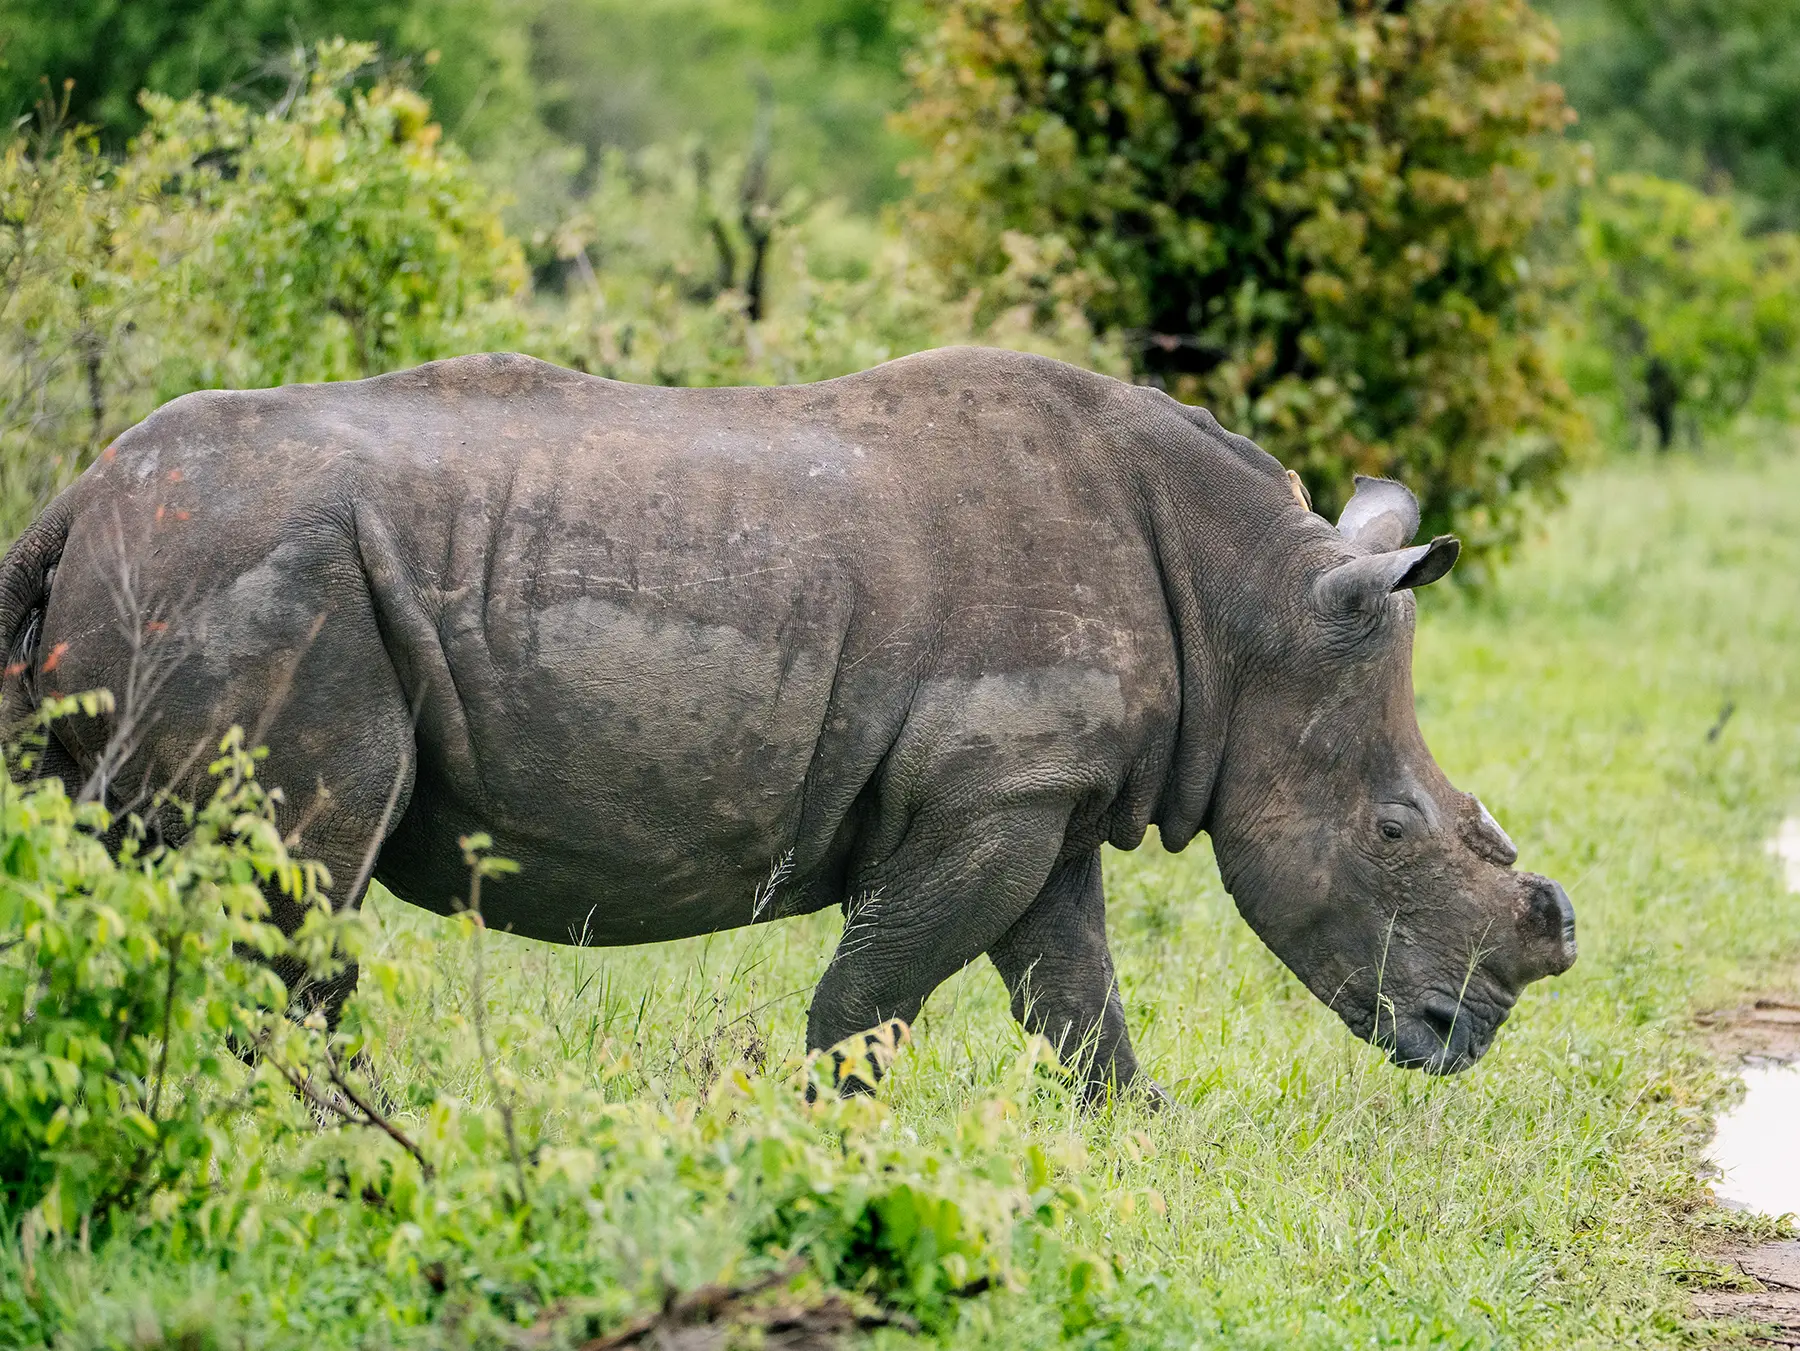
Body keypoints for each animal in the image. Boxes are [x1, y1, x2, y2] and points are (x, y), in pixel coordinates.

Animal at [0, 348, 1575, 1094]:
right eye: (1395, 831)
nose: (1466, 1032)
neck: (1248, 609)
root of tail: (77, 494)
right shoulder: (989, 798)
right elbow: (868, 1004)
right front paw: (812, 1155)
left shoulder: (1040, 798)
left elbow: (1077, 1009)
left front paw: (1138, 1156)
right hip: (261, 571)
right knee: (296, 902)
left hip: (190, 573)